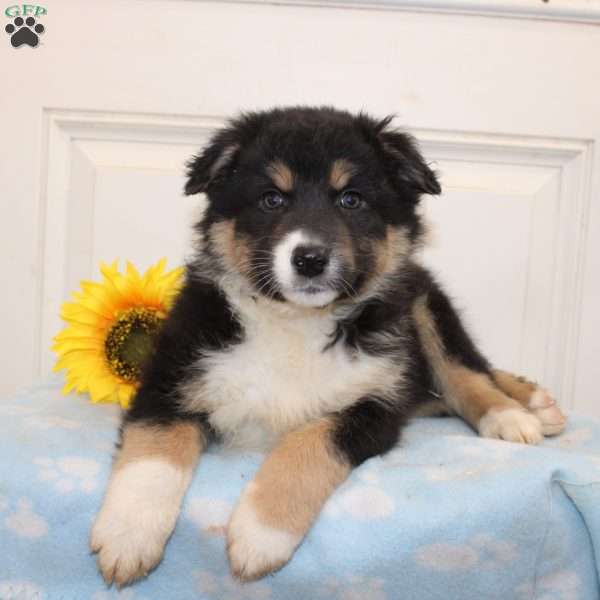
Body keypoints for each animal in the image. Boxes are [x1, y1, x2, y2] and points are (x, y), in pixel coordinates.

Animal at [90, 105, 568, 584]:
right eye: (272, 199)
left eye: (350, 199)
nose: (310, 259)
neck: (296, 323)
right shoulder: (172, 371)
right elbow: (154, 454)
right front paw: (128, 535)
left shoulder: (376, 404)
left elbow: (310, 441)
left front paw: (260, 534)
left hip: (423, 304)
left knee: (465, 369)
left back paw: (516, 412)